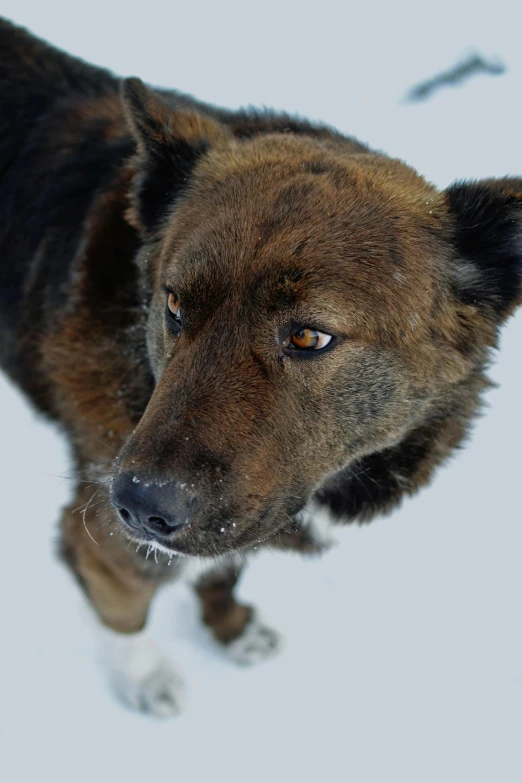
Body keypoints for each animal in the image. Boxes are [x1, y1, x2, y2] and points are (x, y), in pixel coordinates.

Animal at [1, 16, 520, 716]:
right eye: (174, 304)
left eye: (308, 335)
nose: (138, 505)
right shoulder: (103, 544)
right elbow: (127, 617)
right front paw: (145, 680)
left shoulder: (236, 511)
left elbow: (224, 564)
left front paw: (230, 628)